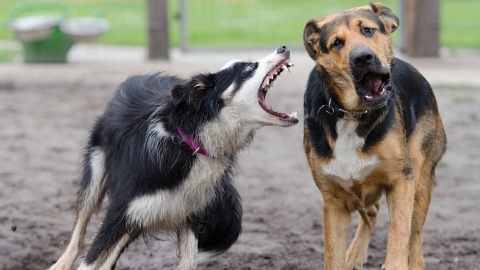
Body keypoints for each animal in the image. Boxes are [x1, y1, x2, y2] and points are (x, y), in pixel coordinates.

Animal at [48, 46, 296, 270]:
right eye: (247, 67)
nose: (283, 47)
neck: (192, 142)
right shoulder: (121, 210)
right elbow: (89, 261)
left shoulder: (188, 212)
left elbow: (188, 262)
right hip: (96, 173)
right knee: (79, 234)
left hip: (146, 213)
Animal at [304, 2, 446, 270]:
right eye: (337, 43)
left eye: (368, 30)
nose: (362, 57)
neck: (352, 113)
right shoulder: (334, 201)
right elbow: (333, 256)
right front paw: (345, 256)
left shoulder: (402, 181)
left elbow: (399, 233)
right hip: (359, 191)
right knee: (371, 213)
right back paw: (354, 254)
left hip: (420, 178)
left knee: (416, 236)